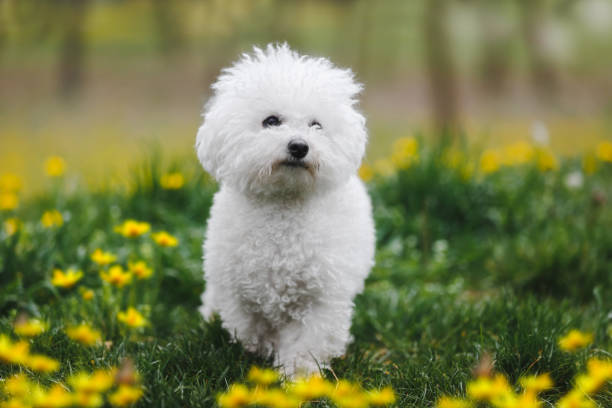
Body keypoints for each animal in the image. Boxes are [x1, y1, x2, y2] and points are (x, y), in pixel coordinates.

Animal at [196, 43, 376, 376]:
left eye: (316, 125)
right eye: (271, 121)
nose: (299, 146)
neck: (284, 205)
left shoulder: (321, 299)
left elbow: (308, 342)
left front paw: (299, 375)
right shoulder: (239, 293)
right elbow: (250, 328)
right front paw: (259, 352)